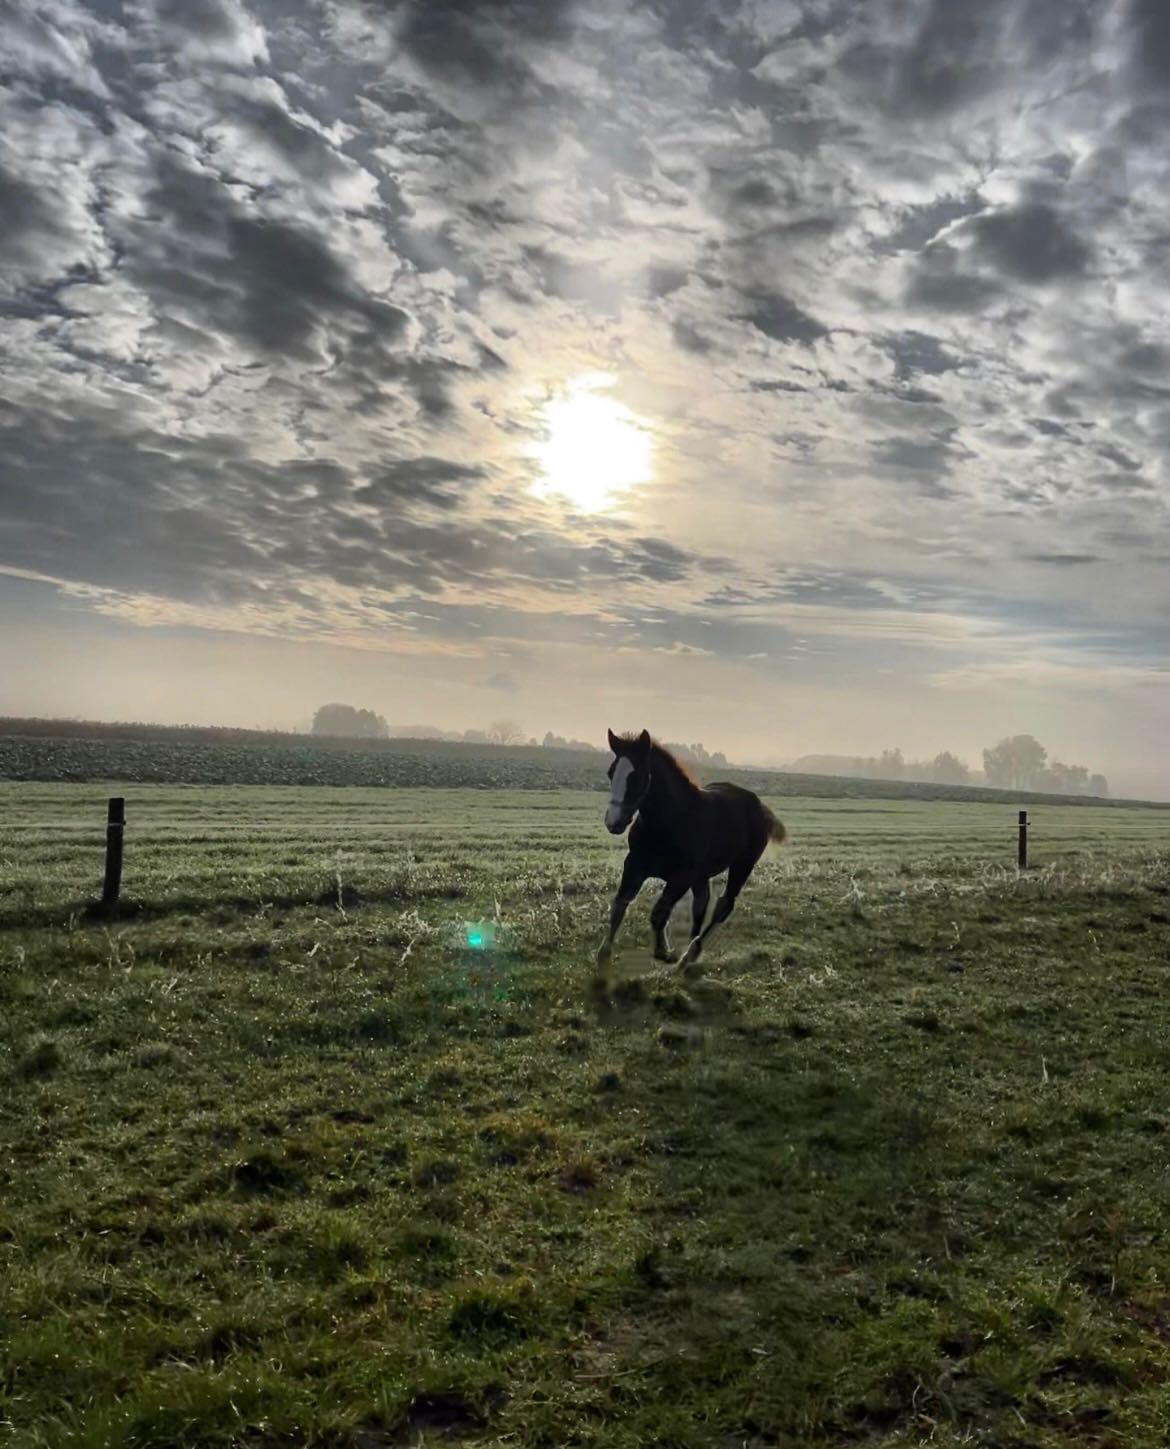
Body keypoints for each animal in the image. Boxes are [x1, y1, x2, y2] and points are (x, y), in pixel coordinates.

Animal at [594, 730, 788, 967]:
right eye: (611, 772)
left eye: (636, 776)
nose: (614, 822)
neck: (667, 822)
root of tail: (760, 806)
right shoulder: (635, 865)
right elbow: (619, 905)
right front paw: (604, 952)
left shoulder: (681, 877)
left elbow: (659, 913)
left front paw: (664, 952)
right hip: (702, 875)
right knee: (701, 904)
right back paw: (690, 948)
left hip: (743, 865)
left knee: (723, 906)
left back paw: (690, 954)